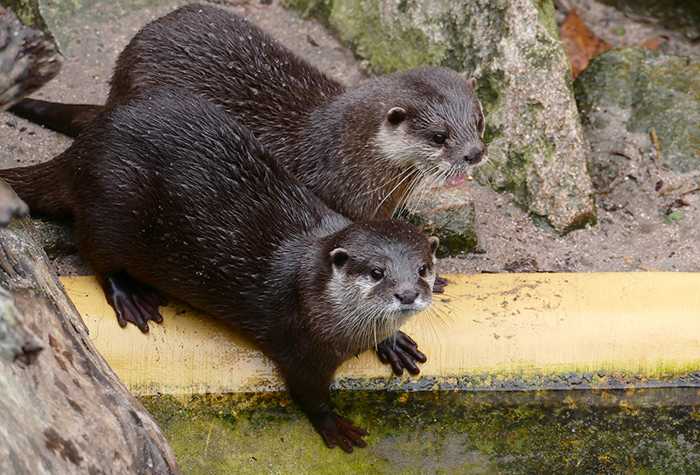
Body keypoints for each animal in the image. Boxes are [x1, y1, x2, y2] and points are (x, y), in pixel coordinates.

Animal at [0, 90, 438, 454]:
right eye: (377, 272)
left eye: (423, 268)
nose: (407, 293)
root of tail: (83, 149)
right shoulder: (302, 348)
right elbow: (309, 394)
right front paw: (334, 426)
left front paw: (394, 342)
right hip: (111, 206)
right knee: (95, 252)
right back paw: (130, 296)